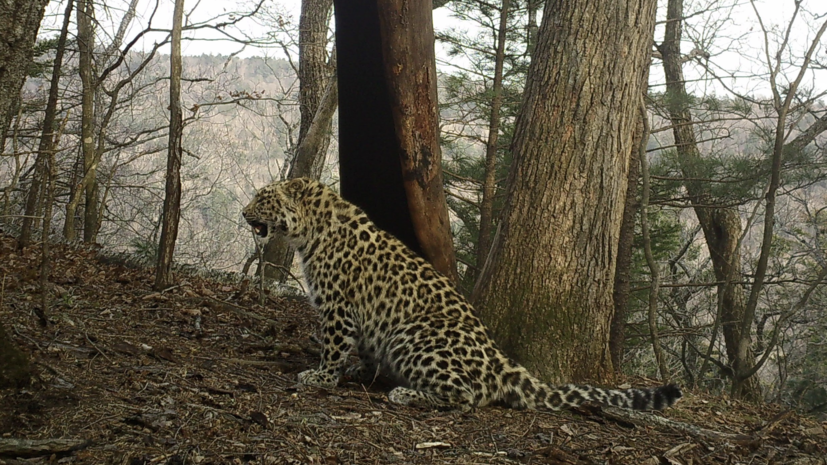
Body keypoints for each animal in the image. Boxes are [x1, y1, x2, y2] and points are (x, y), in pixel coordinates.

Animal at [243, 177, 684, 410]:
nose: (244, 213)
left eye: (262, 199)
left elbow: (334, 348)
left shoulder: (338, 307)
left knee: (467, 395)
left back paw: (406, 393)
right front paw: (359, 371)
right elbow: (364, 349)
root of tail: (502, 362)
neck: (310, 229)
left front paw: (321, 376)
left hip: (413, 335)